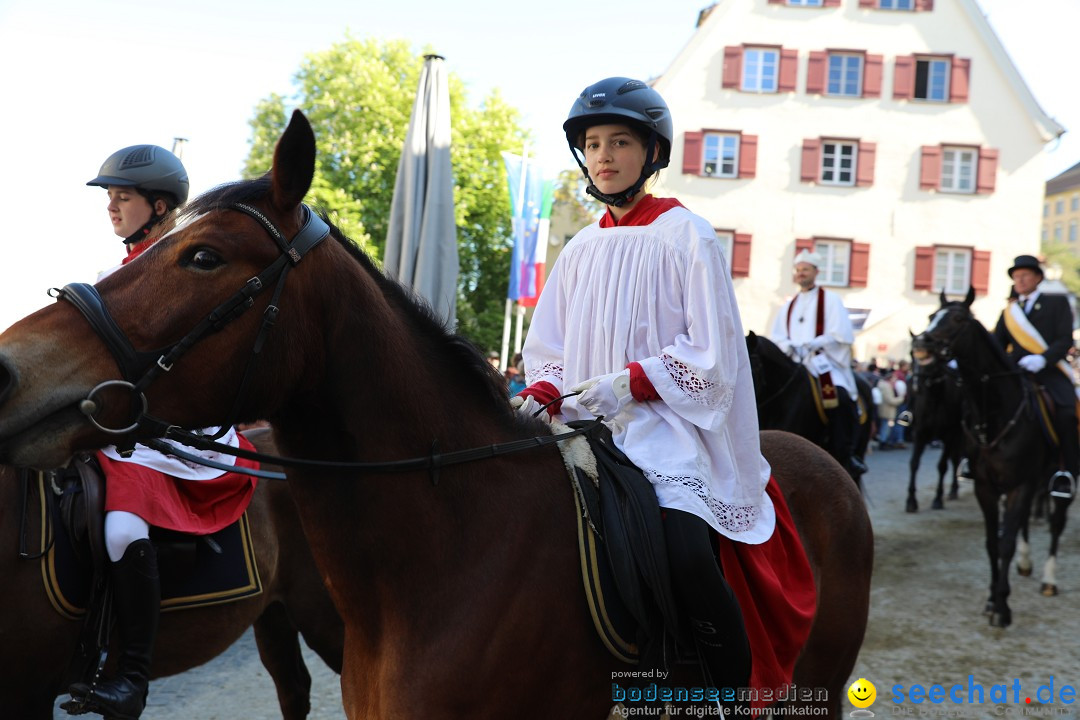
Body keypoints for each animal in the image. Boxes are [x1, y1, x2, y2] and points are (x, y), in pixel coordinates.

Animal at [898, 338, 967, 511]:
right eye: (911, 353)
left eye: (929, 358)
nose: (916, 386)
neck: (934, 400)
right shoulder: (919, 433)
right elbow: (914, 464)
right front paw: (911, 501)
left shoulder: (949, 435)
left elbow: (942, 466)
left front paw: (937, 499)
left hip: (958, 435)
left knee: (955, 459)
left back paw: (953, 490)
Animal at [915, 287, 1075, 626]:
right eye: (931, 315)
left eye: (958, 319)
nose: (921, 344)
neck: (995, 415)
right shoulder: (986, 487)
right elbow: (993, 543)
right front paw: (992, 599)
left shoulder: (1020, 485)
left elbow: (1006, 544)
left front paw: (1002, 608)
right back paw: (1026, 564)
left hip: (1063, 476)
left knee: (1056, 523)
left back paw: (1049, 580)